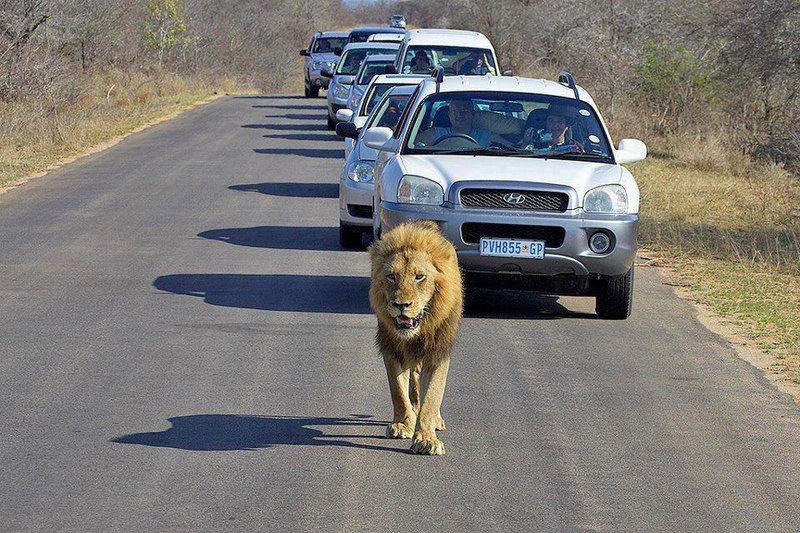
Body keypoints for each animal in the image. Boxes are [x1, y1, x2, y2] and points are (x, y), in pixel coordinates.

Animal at [368, 218, 462, 456]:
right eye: (391, 277)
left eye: (419, 277)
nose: (401, 305)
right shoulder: (391, 348)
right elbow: (398, 392)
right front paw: (403, 424)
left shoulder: (438, 352)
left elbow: (432, 396)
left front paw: (427, 439)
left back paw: (435, 420)